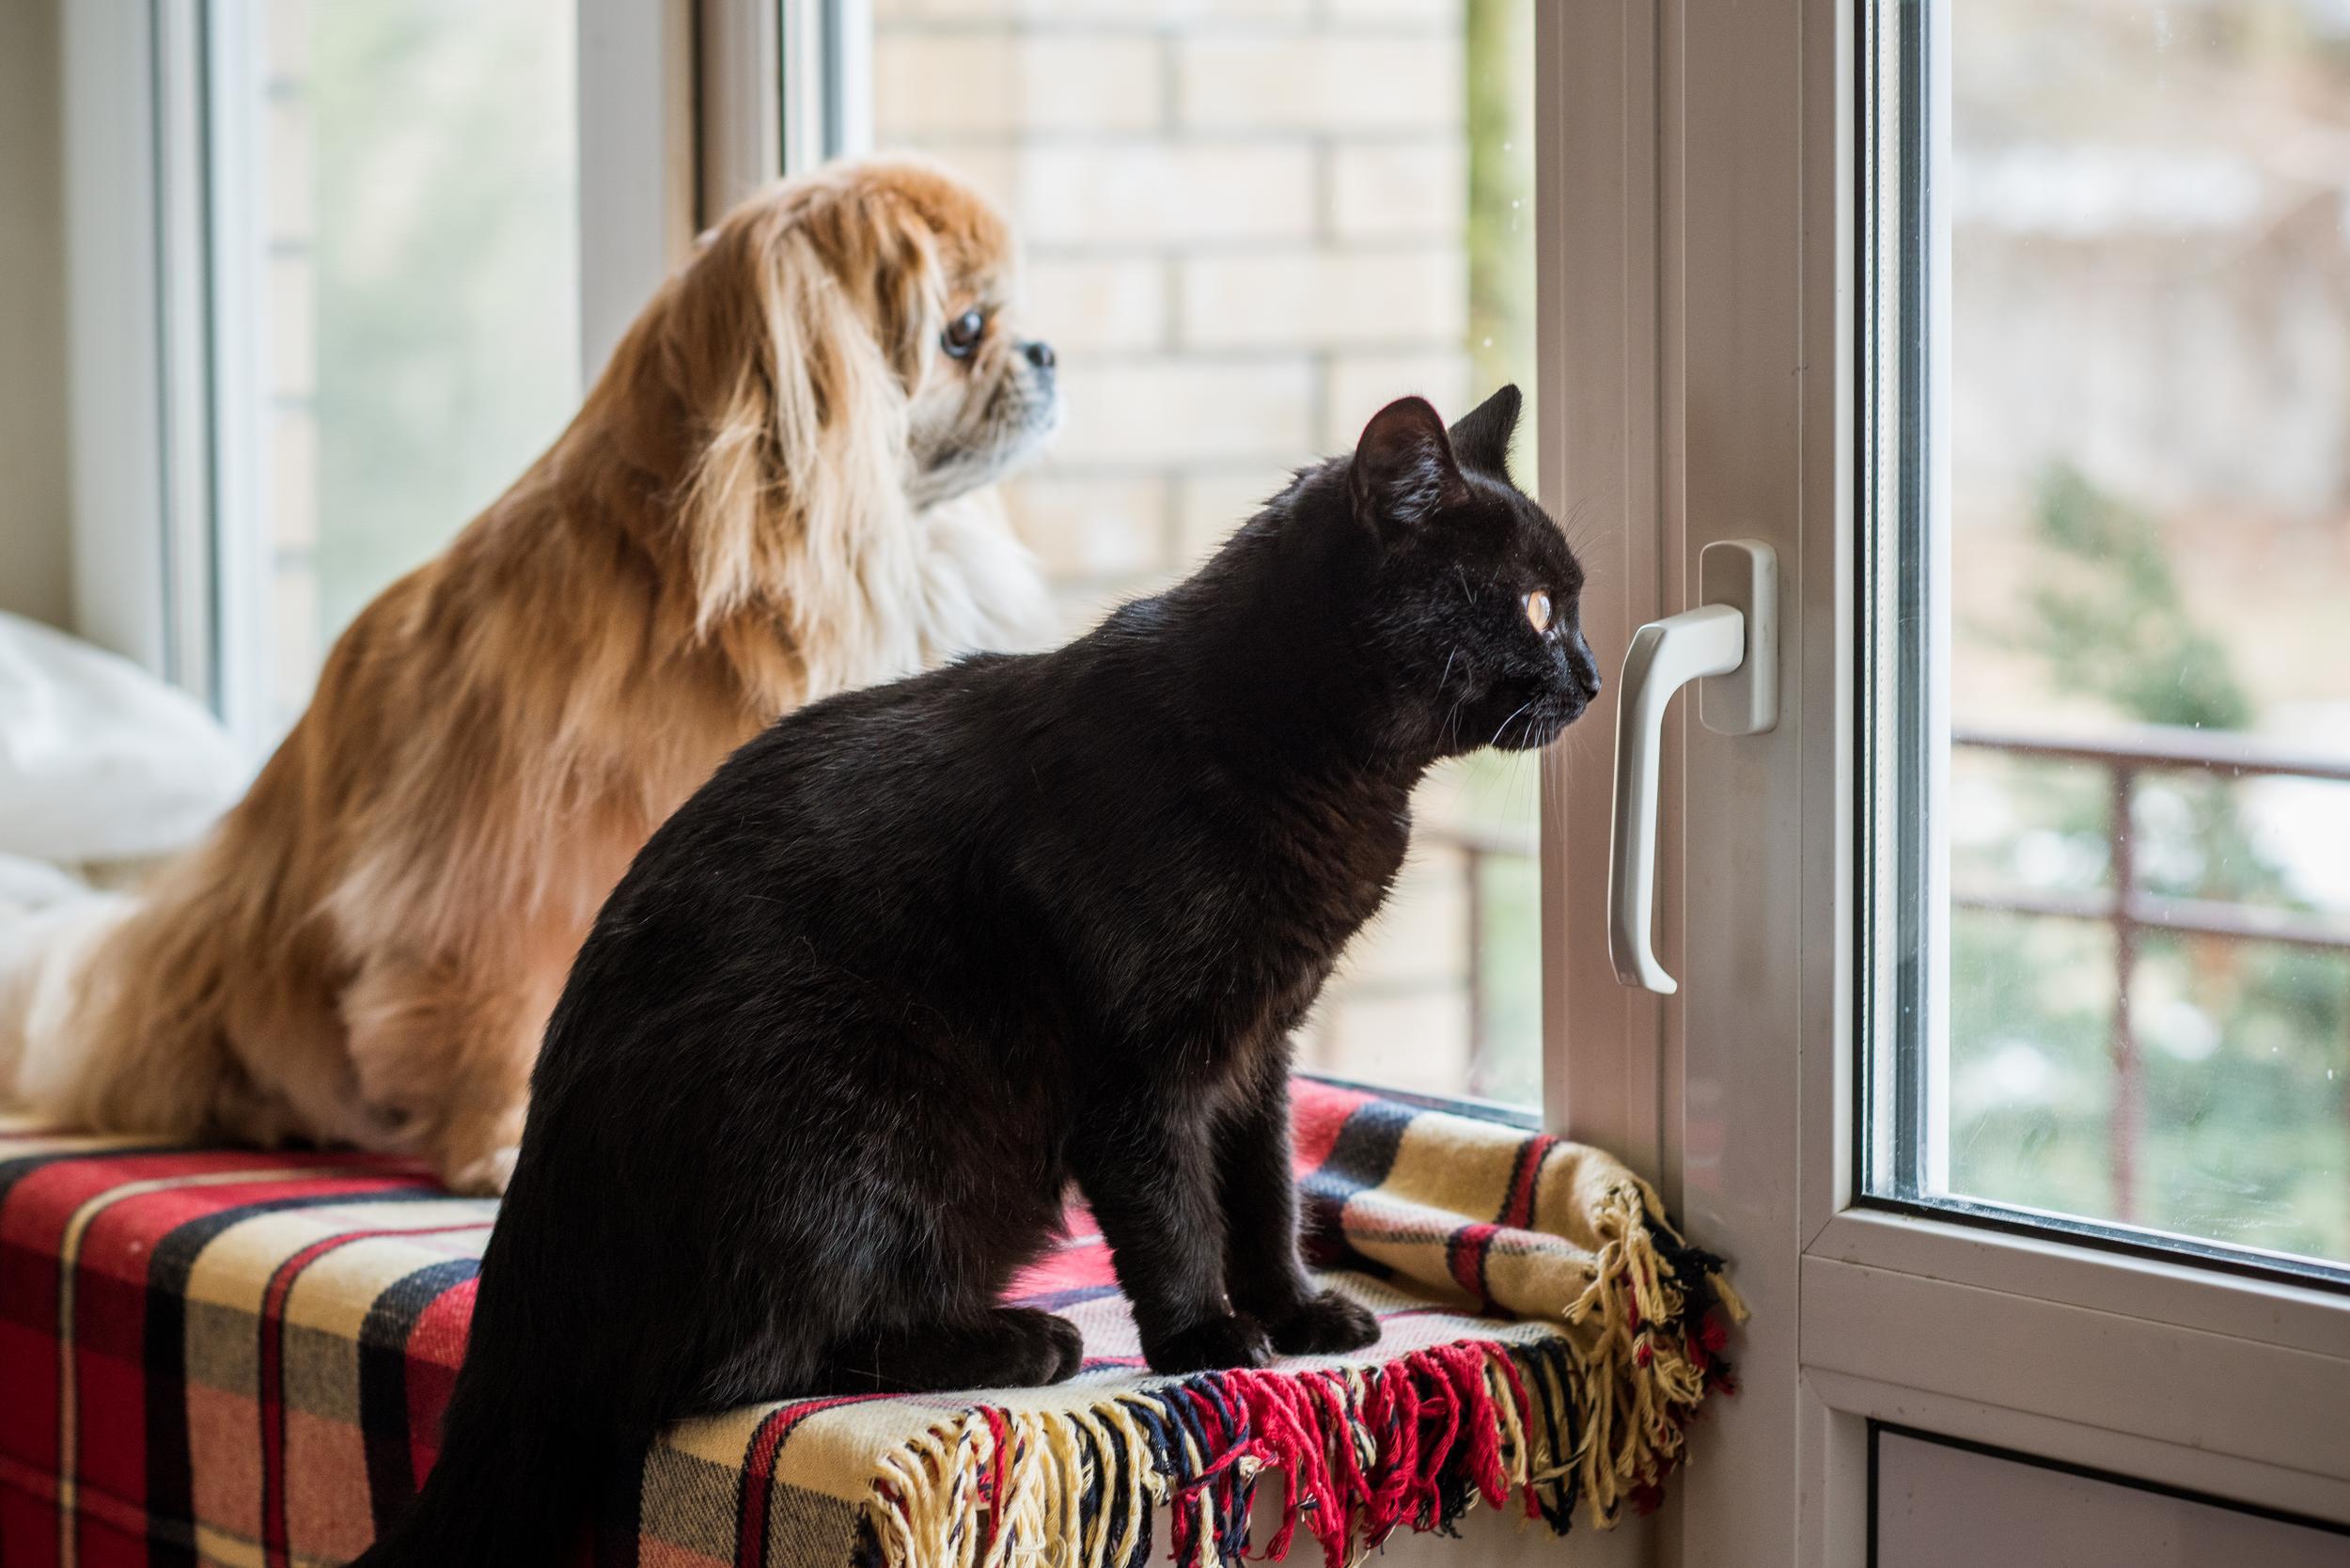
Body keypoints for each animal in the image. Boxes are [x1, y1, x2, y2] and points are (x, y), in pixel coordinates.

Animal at [352, 385, 1598, 1560]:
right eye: (1536, 606)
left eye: (1570, 603)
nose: (1589, 674)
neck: (1292, 744)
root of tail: (528, 1296)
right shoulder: (1142, 1068)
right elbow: (1173, 1211)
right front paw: (1204, 1342)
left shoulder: (1259, 1048)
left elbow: (1265, 1194)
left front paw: (1295, 1315)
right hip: (856, 1112)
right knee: (750, 1361)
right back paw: (1022, 1341)